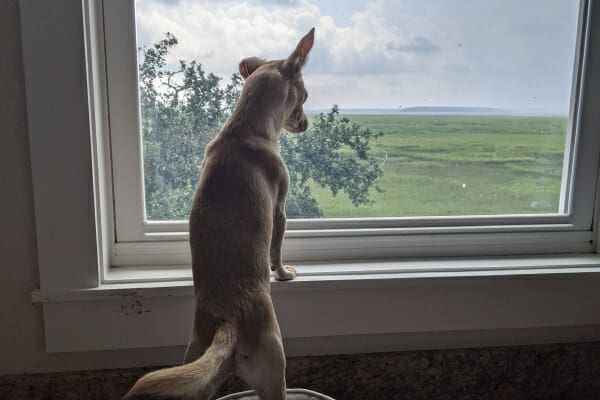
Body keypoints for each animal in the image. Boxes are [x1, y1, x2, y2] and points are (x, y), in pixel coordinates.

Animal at [125, 28, 316, 400]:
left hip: (198, 374)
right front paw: (284, 273)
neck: (243, 127)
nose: (305, 123)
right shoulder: (280, 211)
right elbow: (276, 248)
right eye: (303, 97)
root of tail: (228, 320)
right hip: (274, 367)